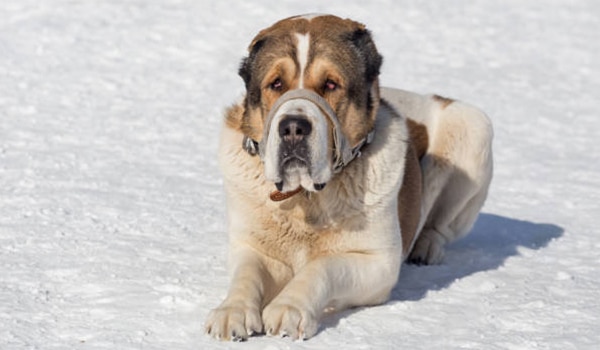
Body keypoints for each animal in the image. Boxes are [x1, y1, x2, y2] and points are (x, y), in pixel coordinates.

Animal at [206, 14, 492, 342]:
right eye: (276, 83)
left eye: (331, 84)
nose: (293, 127)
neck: (307, 199)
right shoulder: (250, 245)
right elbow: (246, 275)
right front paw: (232, 311)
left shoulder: (378, 262)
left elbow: (323, 267)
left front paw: (290, 308)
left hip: (473, 126)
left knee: (440, 226)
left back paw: (427, 247)